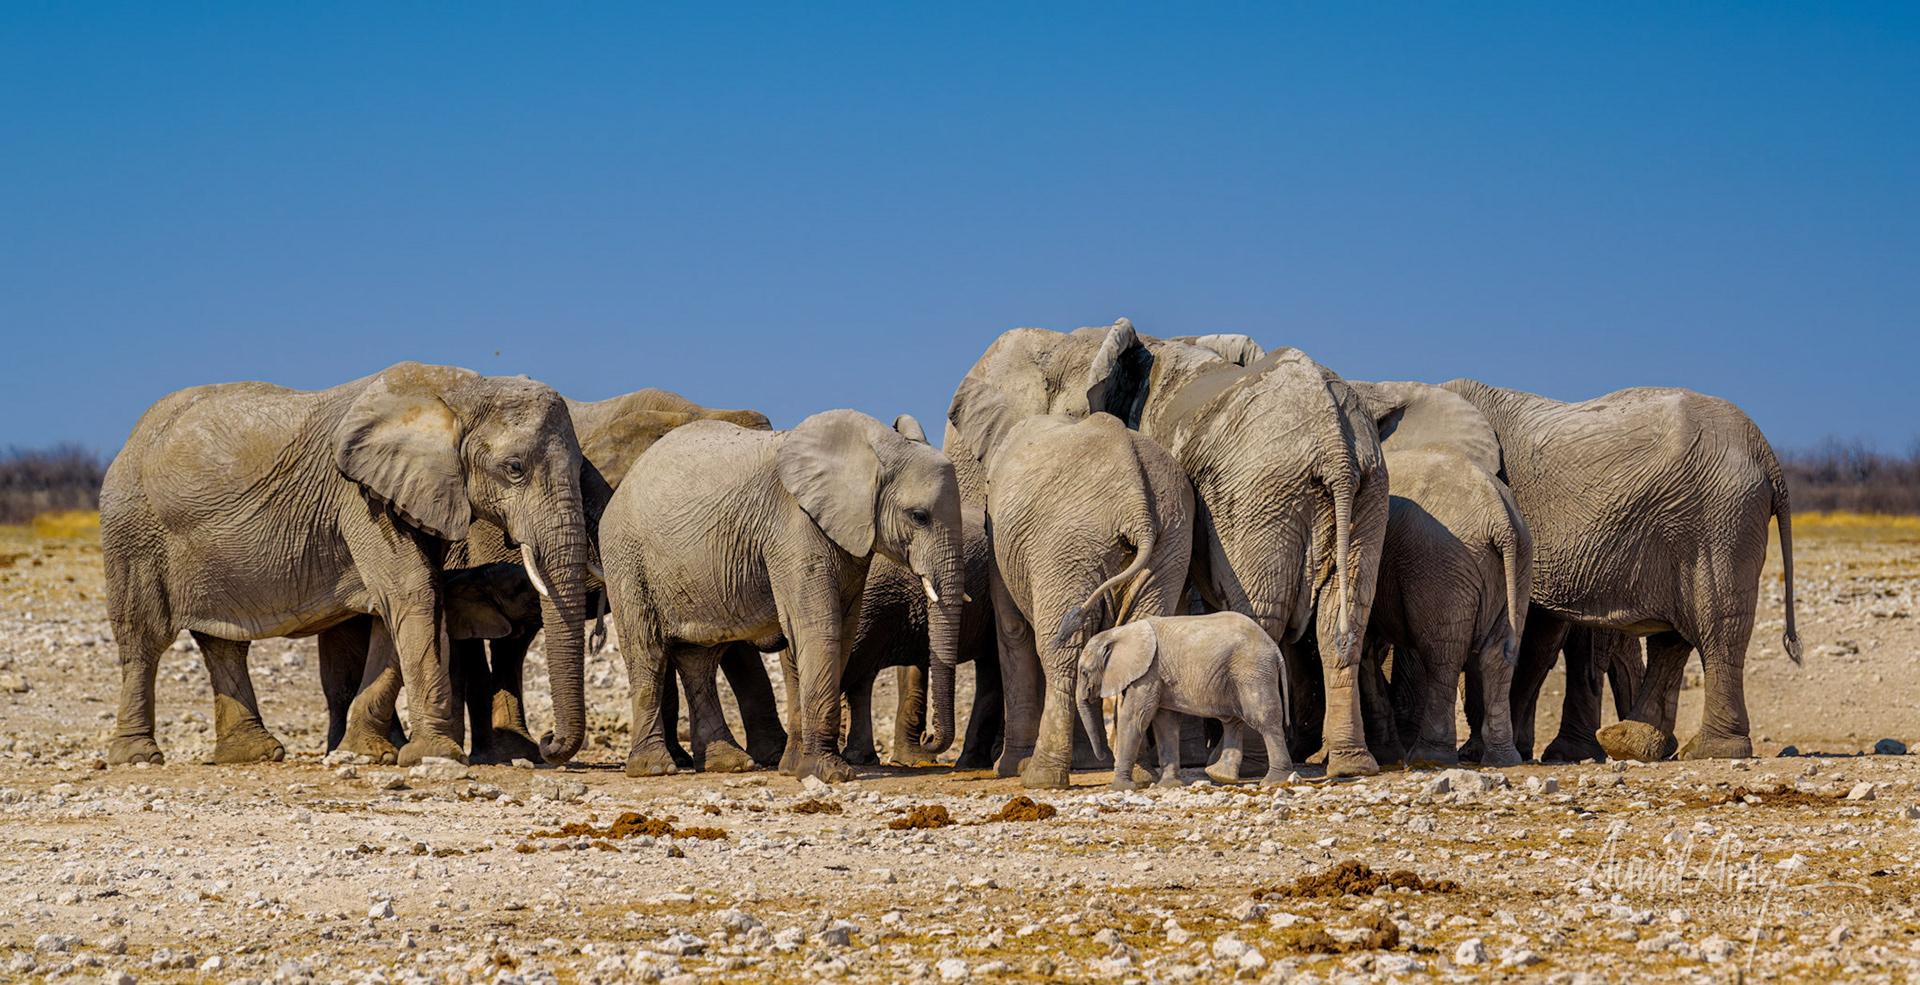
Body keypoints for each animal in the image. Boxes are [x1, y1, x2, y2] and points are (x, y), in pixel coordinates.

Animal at [101, 362, 595, 767]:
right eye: (514, 468)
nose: (549, 742)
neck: (461, 391)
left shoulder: (415, 493)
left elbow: (400, 606)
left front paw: (365, 754)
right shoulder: (361, 496)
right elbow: (412, 593)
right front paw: (433, 757)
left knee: (223, 641)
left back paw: (253, 754)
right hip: (133, 529)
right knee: (143, 639)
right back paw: (139, 757)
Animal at [601, 409, 966, 782]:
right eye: (919, 517)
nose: (929, 737)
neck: (877, 448)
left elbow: (841, 632)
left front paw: (794, 770)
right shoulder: (793, 527)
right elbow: (818, 628)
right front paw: (830, 774)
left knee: (698, 658)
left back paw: (729, 763)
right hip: (627, 556)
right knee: (648, 651)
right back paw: (655, 768)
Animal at [978, 412, 1194, 788]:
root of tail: (1137, 509)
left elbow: (1013, 628)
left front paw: (1007, 768)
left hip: (1066, 546)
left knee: (1062, 652)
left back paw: (1040, 778)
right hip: (1170, 538)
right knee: (1135, 638)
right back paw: (1138, 773)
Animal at [1077, 612, 1292, 789]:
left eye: (1084, 672)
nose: (1102, 756)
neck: (1117, 632)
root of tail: (1273, 646)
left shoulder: (1148, 673)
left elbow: (1135, 718)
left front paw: (1120, 788)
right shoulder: (1156, 675)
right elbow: (1165, 723)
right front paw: (1168, 786)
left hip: (1252, 669)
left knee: (1263, 719)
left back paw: (1274, 781)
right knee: (1233, 720)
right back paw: (1220, 776)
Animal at [1355, 444, 1532, 768]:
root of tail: (1499, 517)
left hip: (1440, 565)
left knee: (1443, 656)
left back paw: (1429, 757)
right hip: (1520, 562)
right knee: (1496, 656)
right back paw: (1503, 759)